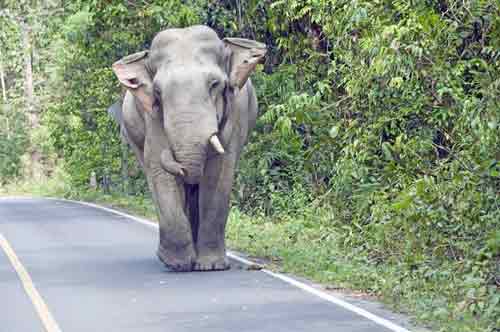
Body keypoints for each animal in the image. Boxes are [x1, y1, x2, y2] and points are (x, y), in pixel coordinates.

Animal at [109, 24, 266, 272]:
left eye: (214, 84)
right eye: (158, 92)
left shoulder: (235, 115)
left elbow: (219, 173)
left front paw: (211, 266)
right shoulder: (152, 116)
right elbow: (159, 170)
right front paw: (177, 263)